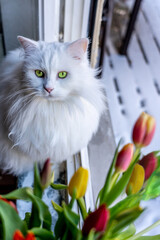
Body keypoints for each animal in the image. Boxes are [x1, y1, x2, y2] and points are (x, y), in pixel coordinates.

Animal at [0, 36, 105, 174]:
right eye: (39, 73)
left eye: (62, 75)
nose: (48, 89)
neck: (52, 110)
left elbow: (52, 162)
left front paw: (52, 172)